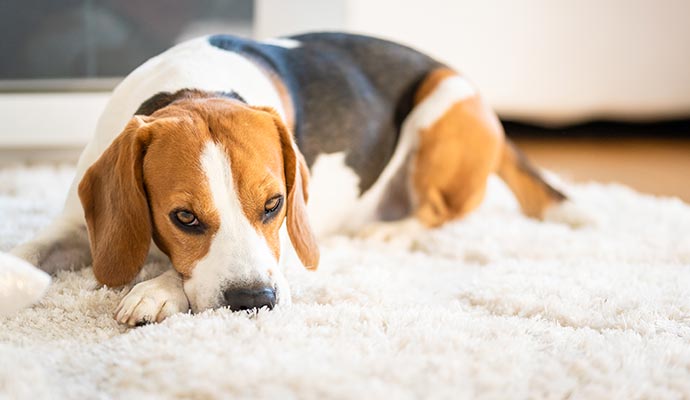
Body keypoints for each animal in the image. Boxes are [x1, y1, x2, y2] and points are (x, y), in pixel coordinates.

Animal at [9, 31, 564, 324]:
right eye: (184, 217)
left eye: (274, 206)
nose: (255, 302)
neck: (197, 88)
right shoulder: (77, 226)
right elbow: (28, 251)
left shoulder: (287, 241)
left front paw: (157, 289)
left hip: (443, 104)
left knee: (440, 211)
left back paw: (388, 231)